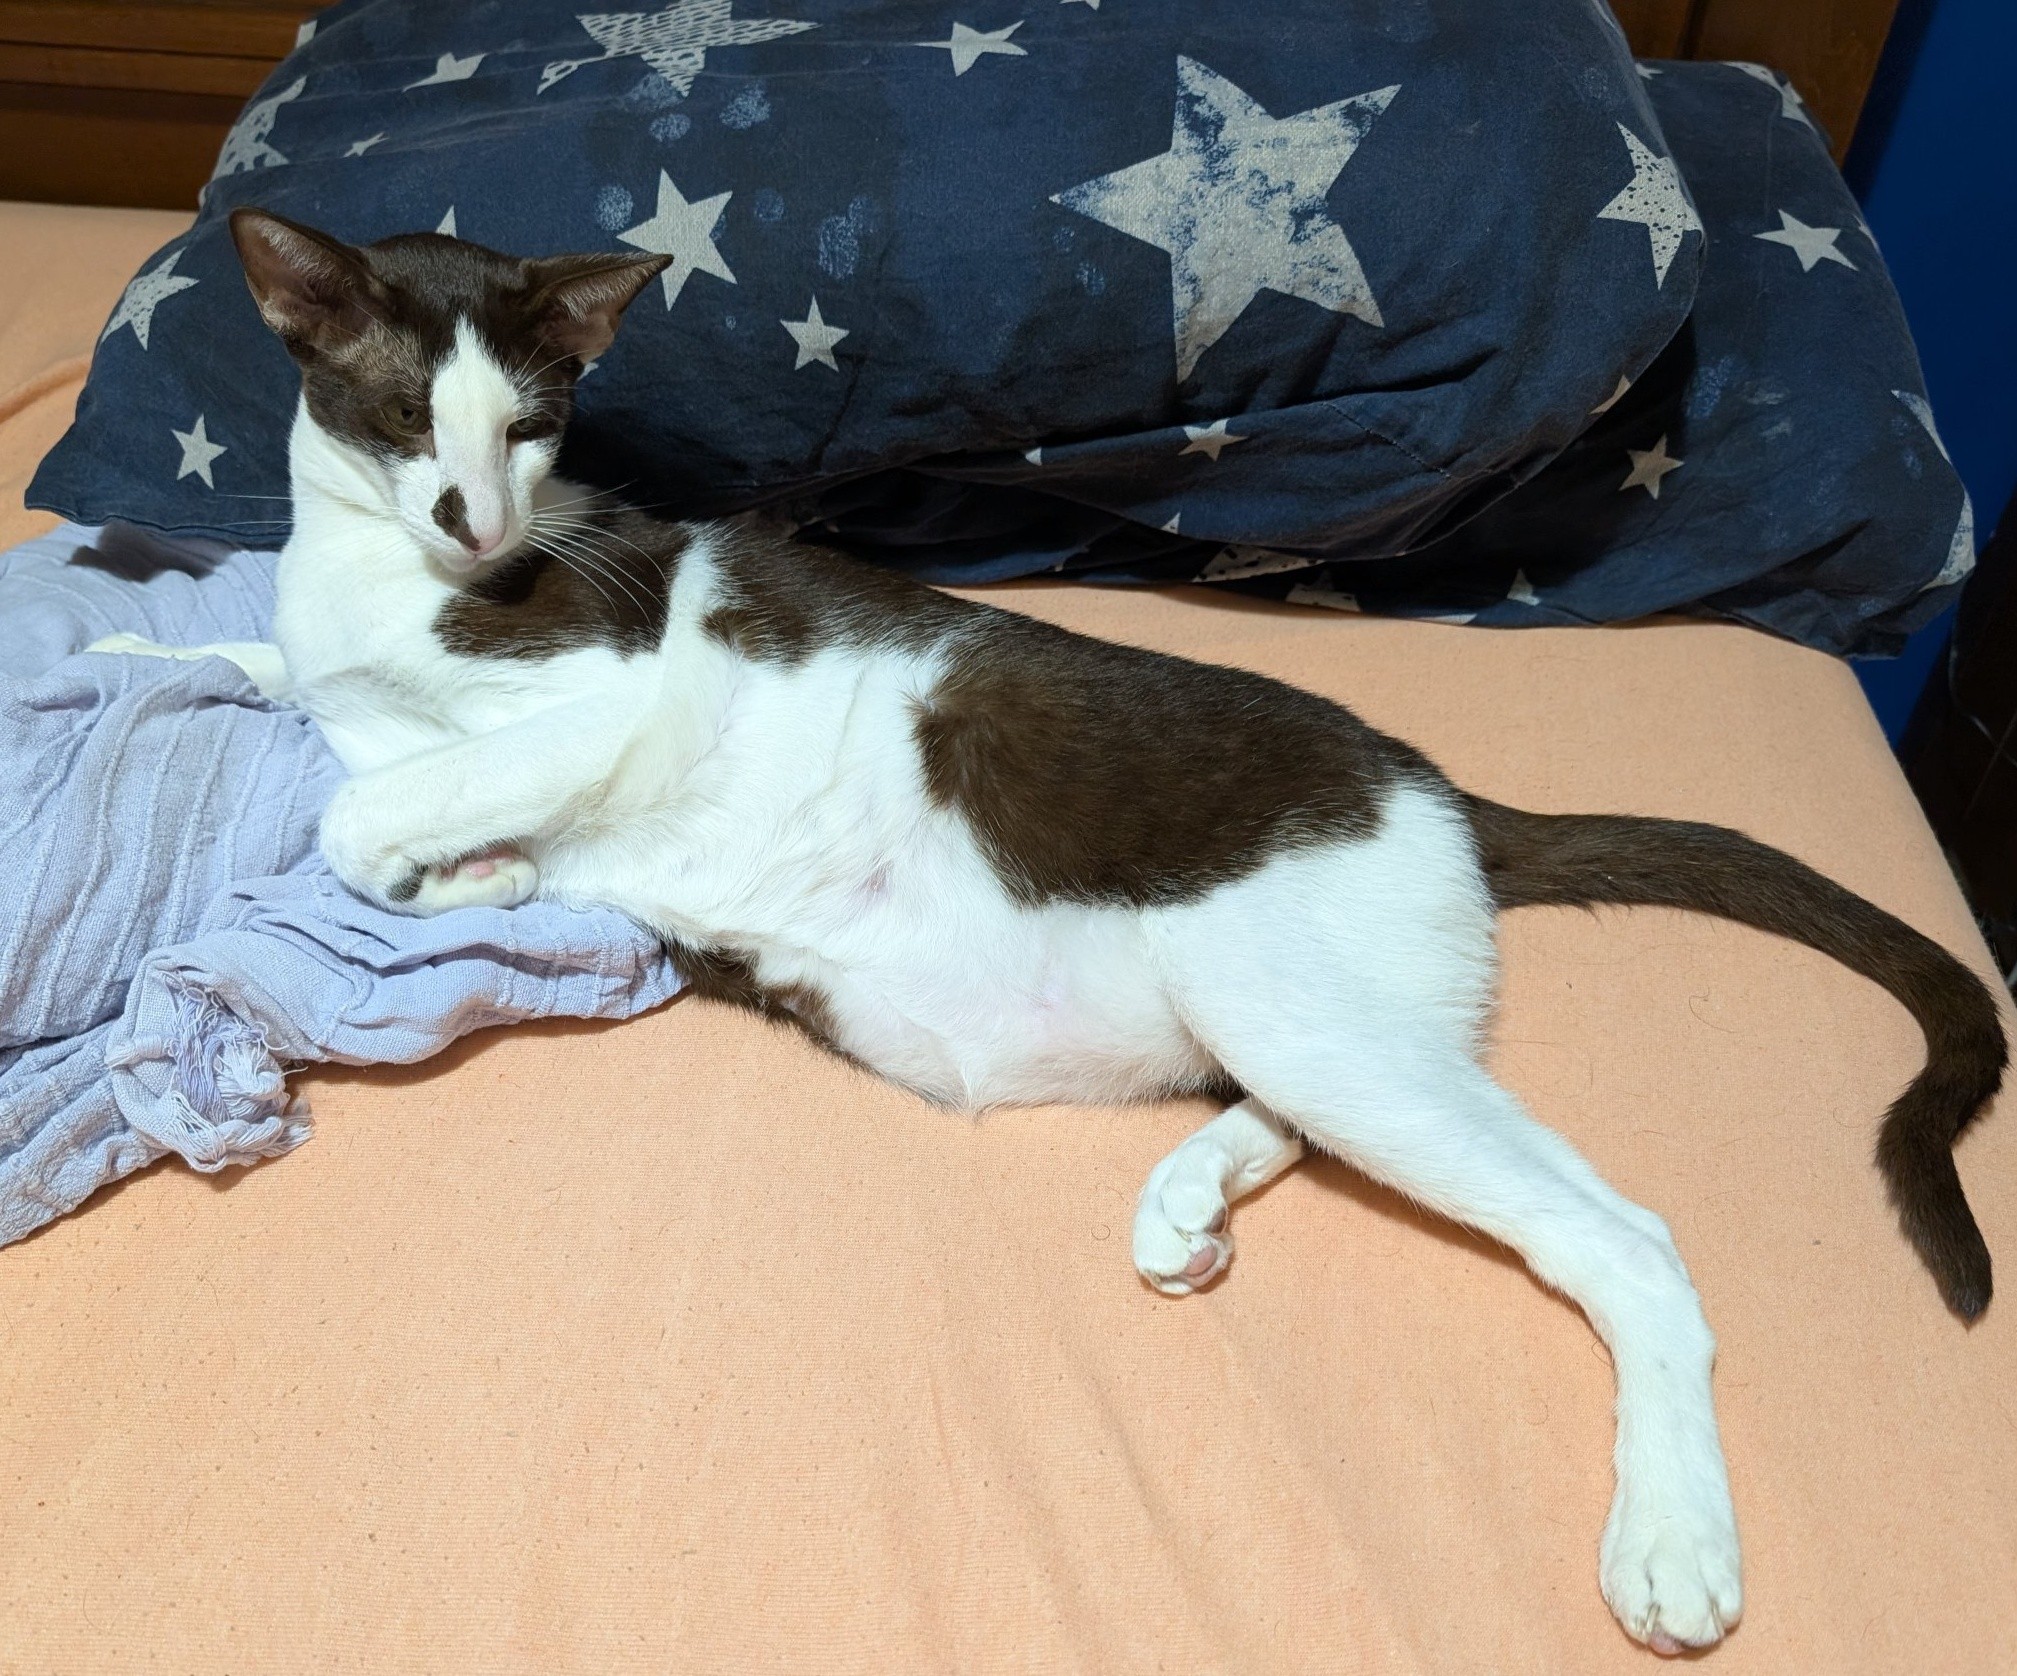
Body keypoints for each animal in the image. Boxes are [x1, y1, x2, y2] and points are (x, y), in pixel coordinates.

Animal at [93, 207, 2004, 1656]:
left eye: (532, 426)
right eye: (408, 416)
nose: (476, 524)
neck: (384, 589)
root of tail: (1444, 789)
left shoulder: (605, 691)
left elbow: (353, 818)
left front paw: (462, 871)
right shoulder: (360, 683)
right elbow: (280, 692)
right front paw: (142, 654)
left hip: (1299, 997)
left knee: (1622, 1237)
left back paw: (1670, 1534)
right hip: (1306, 1025)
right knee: (1319, 1112)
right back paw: (1189, 1198)